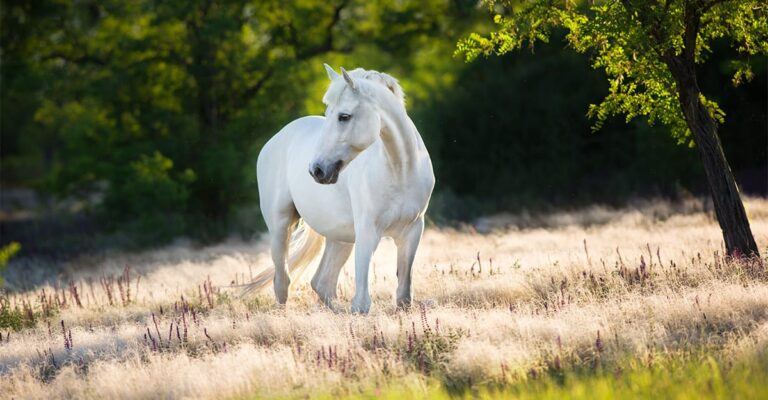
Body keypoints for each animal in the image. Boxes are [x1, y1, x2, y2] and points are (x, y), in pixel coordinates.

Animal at [243, 64, 434, 313]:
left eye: (344, 116)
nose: (316, 170)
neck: (400, 169)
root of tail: (275, 139)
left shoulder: (412, 232)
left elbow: (403, 296)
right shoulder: (367, 231)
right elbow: (361, 304)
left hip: (340, 238)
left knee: (322, 283)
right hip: (280, 227)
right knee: (282, 283)